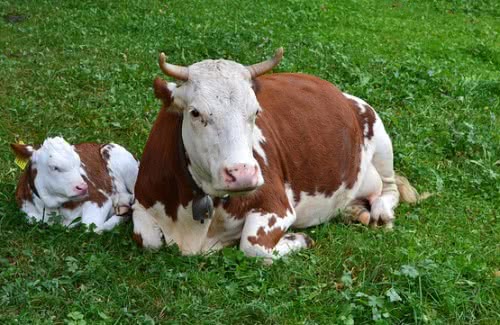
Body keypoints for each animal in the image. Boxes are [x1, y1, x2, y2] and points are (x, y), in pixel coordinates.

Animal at [12, 135, 141, 232]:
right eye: (54, 167)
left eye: (78, 163)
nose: (83, 187)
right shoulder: (28, 213)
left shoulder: (100, 198)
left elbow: (90, 227)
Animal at [133, 48, 418, 258]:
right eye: (195, 113)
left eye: (256, 111)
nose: (243, 174)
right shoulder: (142, 200)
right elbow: (148, 239)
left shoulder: (277, 206)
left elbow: (253, 246)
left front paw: (298, 238)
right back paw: (354, 211)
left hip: (379, 135)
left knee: (390, 189)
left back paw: (379, 211)